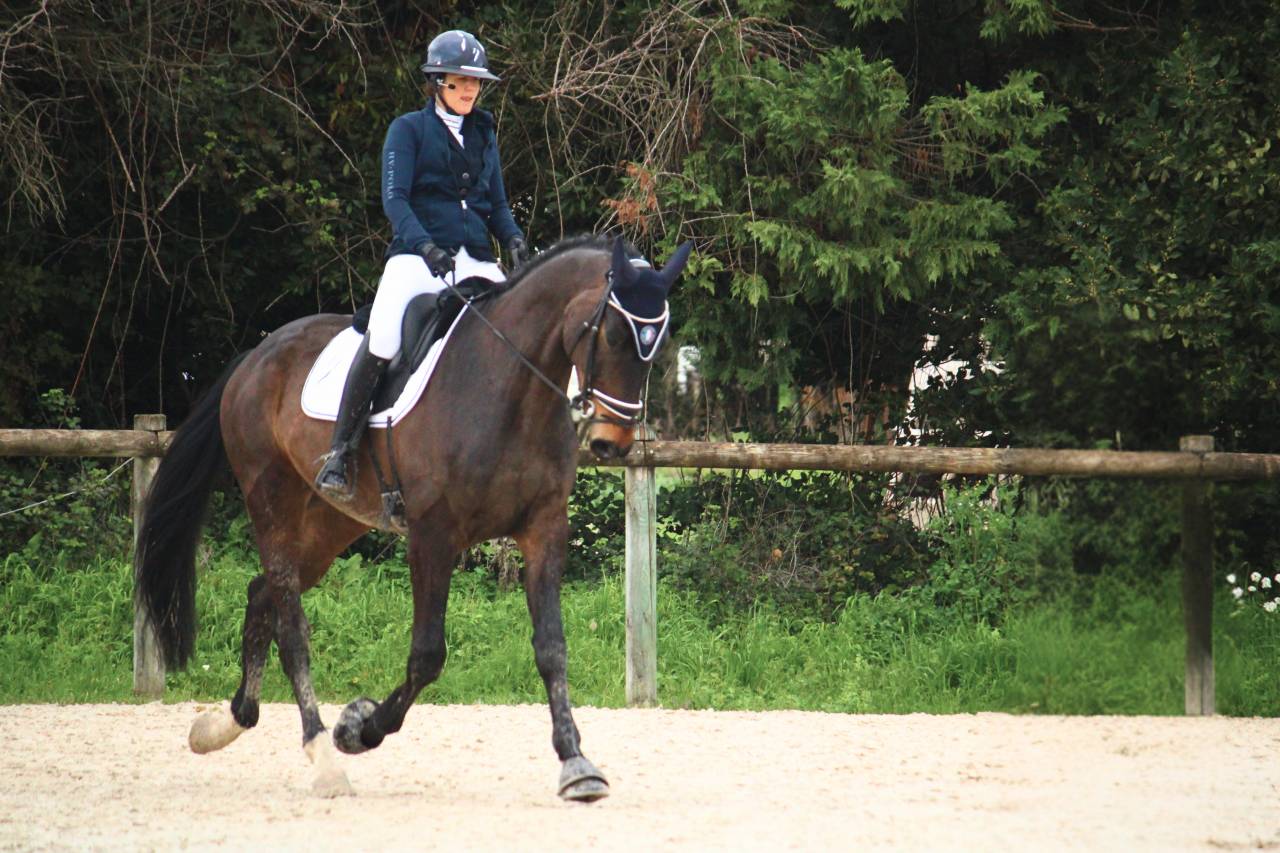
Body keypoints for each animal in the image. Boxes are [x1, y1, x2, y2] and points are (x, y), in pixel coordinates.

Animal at [134, 234, 691, 799]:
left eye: (658, 342)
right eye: (615, 334)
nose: (611, 443)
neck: (511, 388)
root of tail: (257, 354)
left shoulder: (543, 530)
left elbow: (552, 647)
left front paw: (576, 763)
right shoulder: (432, 536)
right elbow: (427, 654)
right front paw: (359, 728)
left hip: (332, 522)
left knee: (260, 593)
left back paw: (224, 723)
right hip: (272, 501)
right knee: (291, 627)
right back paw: (321, 754)